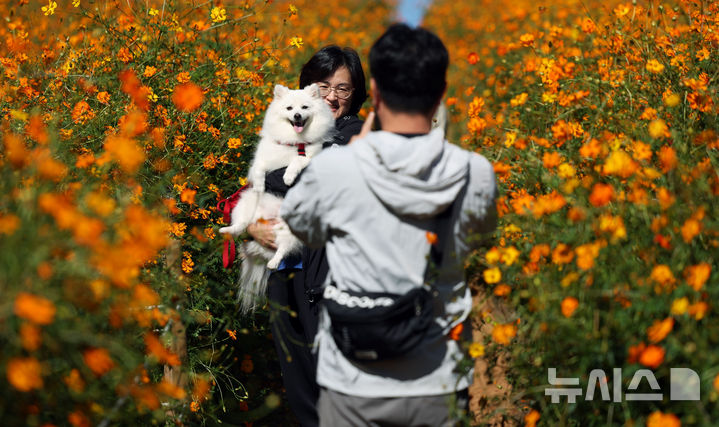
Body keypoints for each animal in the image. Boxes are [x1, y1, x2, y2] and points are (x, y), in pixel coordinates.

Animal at [219, 83, 334, 312]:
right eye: (289, 108)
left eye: (304, 107)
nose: (297, 115)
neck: (294, 143)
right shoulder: (263, 159)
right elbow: (259, 169)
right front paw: (260, 184)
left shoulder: (310, 157)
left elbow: (298, 162)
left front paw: (288, 176)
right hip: (245, 206)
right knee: (241, 225)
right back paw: (227, 231)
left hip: (290, 230)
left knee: (282, 249)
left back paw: (273, 262)